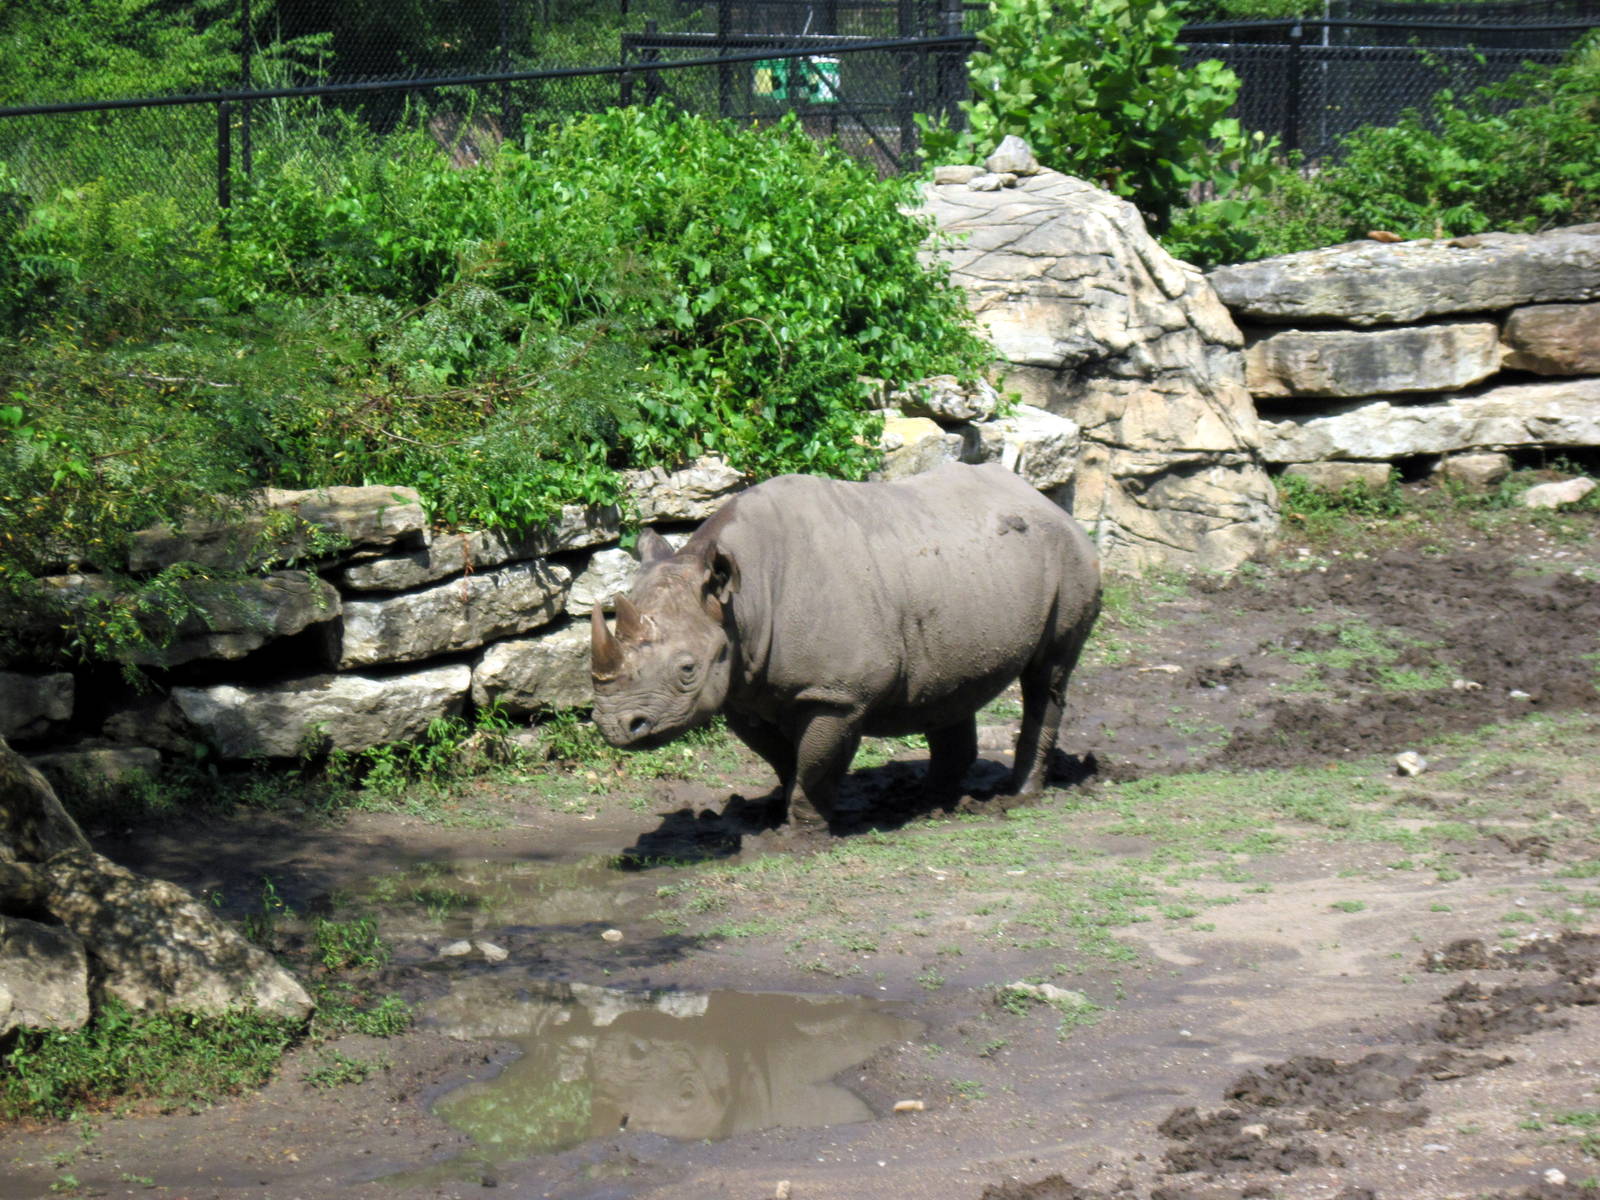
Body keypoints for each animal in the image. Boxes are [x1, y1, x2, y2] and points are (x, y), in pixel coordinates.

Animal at [589, 462, 1101, 829]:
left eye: (687, 670)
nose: (617, 728)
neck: (743, 600)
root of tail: (1045, 499)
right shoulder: (743, 687)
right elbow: (783, 758)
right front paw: (781, 811)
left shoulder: (839, 694)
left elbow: (815, 762)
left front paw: (800, 834)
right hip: (965, 573)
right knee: (954, 684)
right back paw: (933, 803)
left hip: (1069, 555)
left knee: (1048, 675)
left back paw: (1017, 797)